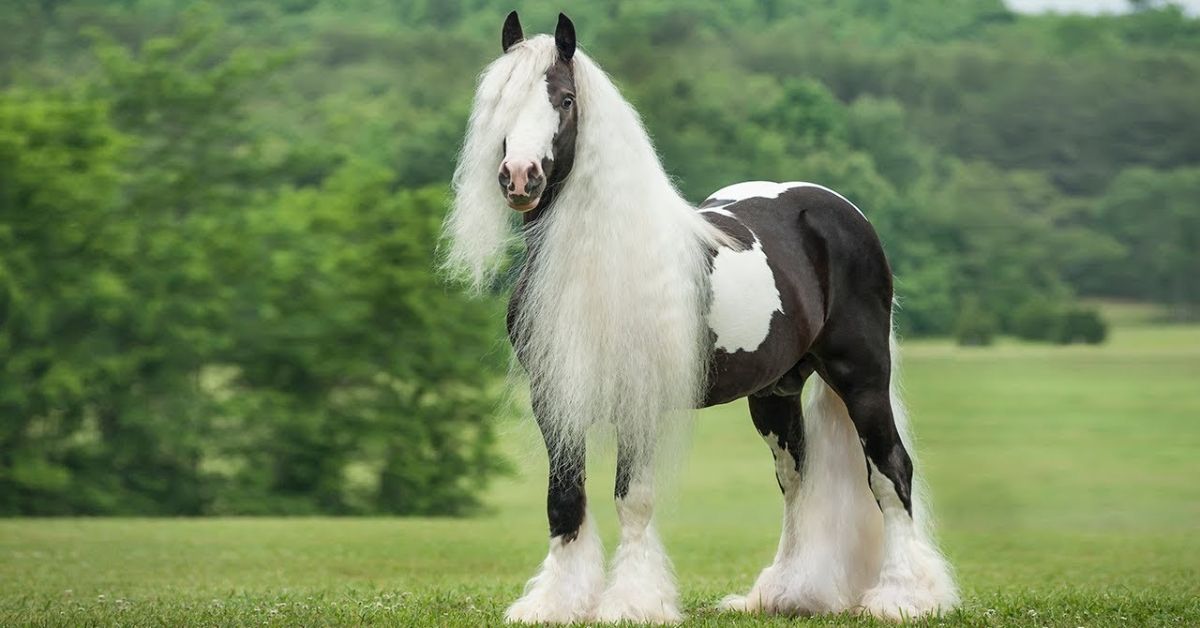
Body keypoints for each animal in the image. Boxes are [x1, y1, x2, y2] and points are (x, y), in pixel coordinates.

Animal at [446, 11, 960, 624]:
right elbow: (565, 500)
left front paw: (633, 603)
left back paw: (903, 597)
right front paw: (555, 604)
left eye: (565, 99)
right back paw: (785, 593)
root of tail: (838, 210)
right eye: (500, 100)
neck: (594, 261)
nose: (519, 178)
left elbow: (633, 499)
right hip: (775, 391)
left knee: (889, 470)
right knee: (797, 480)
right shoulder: (554, 399)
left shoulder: (637, 399)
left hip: (861, 377)